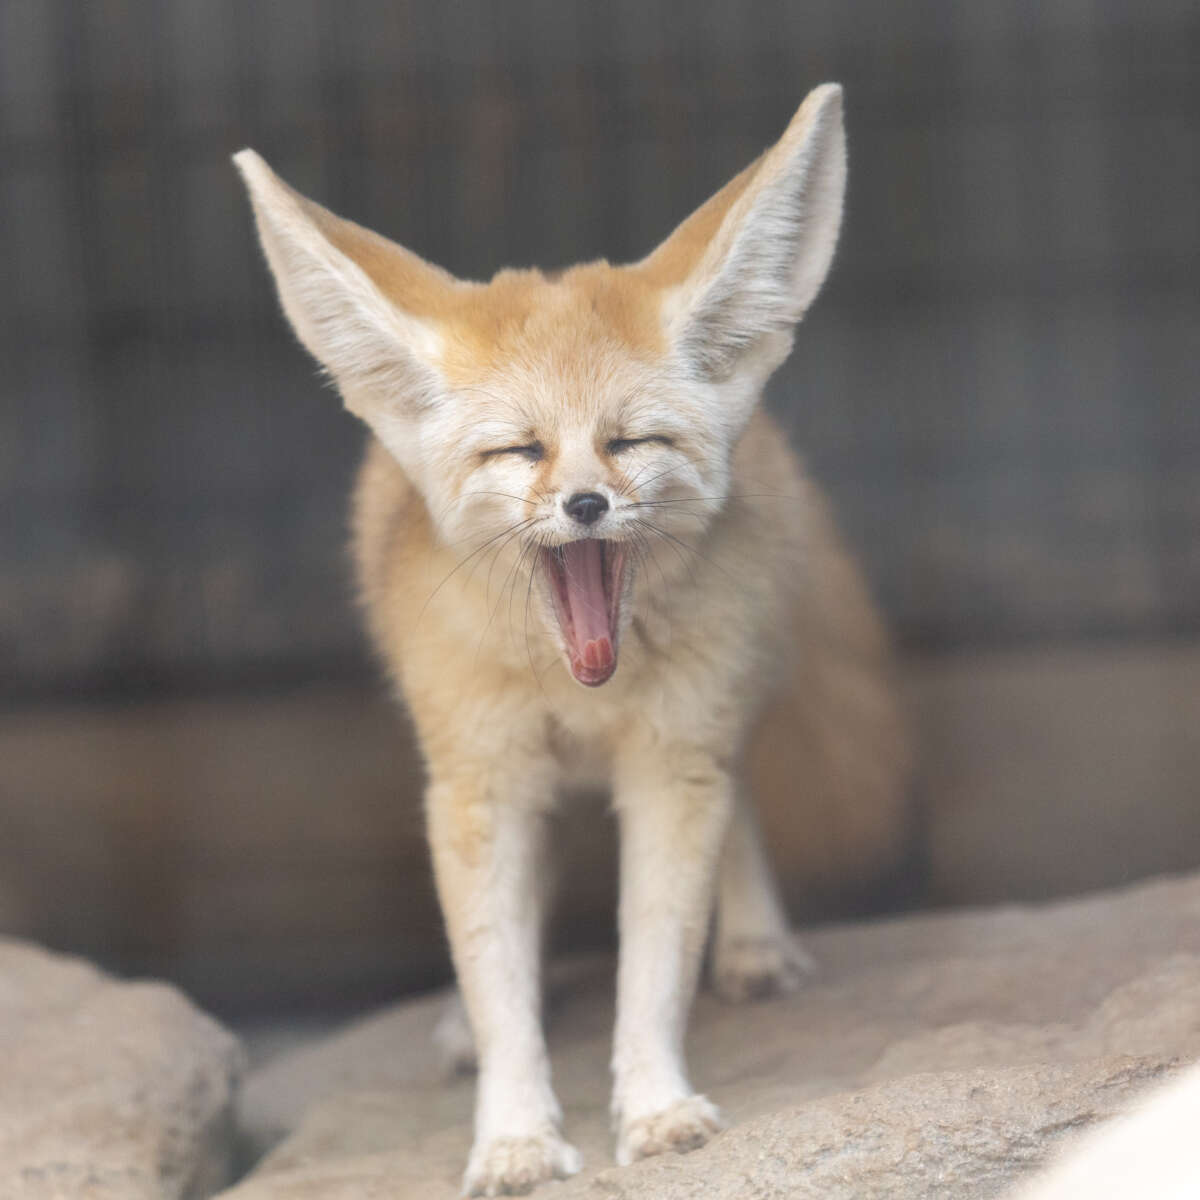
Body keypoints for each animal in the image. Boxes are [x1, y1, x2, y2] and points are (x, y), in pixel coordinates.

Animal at [235, 82, 909, 1196]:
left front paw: (658, 1107)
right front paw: (512, 1133)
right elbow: (498, 972)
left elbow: (655, 965)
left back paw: (755, 943)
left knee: (741, 806)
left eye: (630, 441)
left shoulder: (673, 767)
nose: (586, 503)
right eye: (522, 450)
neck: (582, 689)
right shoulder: (481, 784)